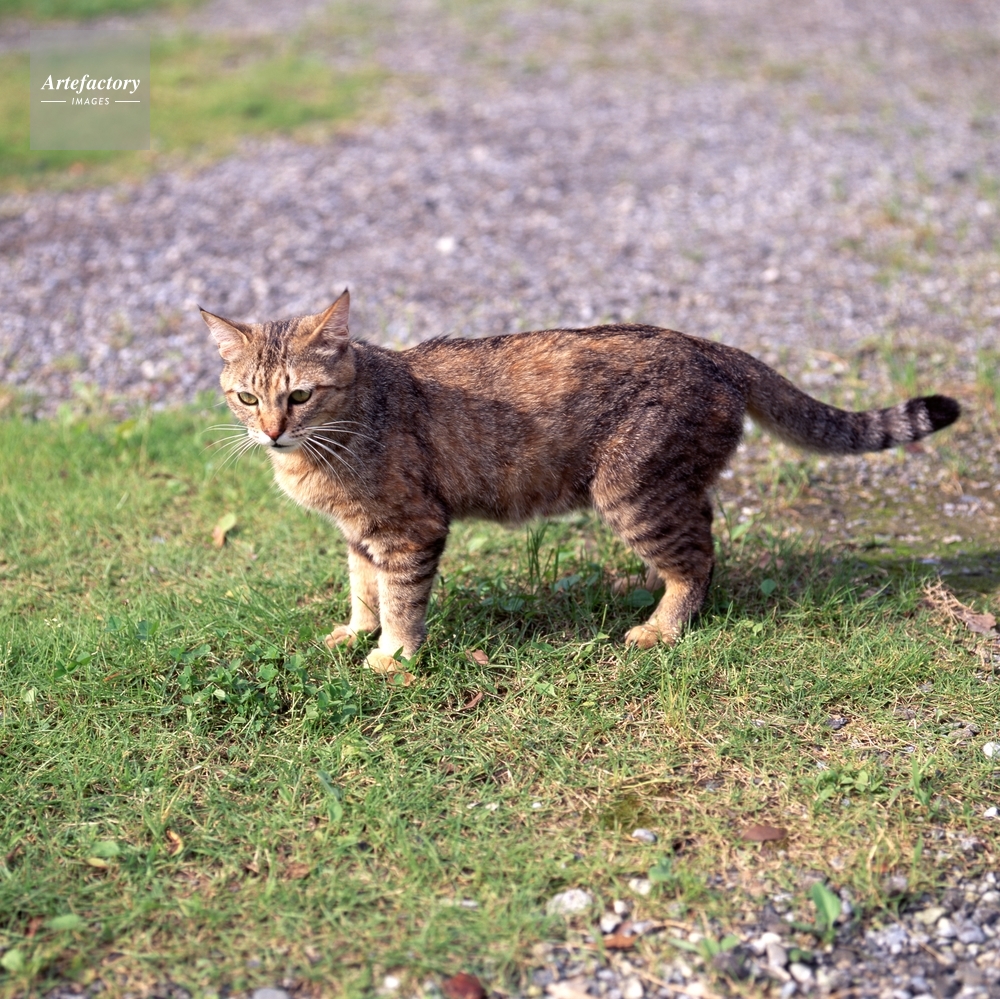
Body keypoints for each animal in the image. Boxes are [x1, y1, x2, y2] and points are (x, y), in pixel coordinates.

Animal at [201, 289, 960, 672]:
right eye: (247, 397)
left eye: (299, 395)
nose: (271, 430)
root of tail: (709, 346)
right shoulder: (360, 535)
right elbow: (364, 590)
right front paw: (358, 633)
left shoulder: (410, 528)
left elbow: (401, 601)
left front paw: (394, 656)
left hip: (632, 490)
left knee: (699, 558)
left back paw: (660, 627)